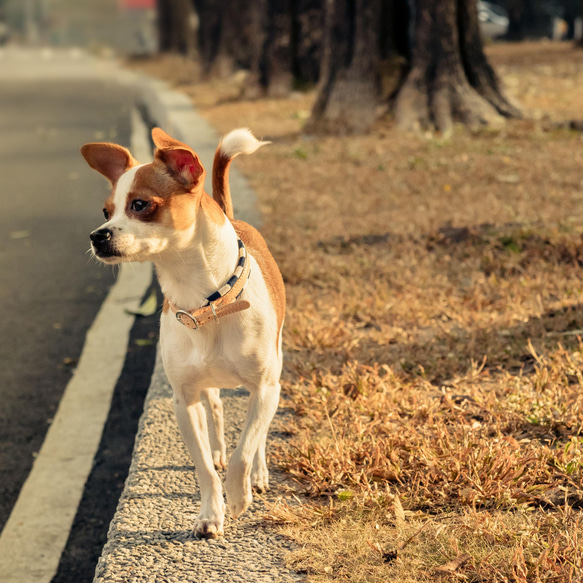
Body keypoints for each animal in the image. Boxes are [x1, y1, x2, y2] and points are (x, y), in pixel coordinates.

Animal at [81, 126, 286, 540]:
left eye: (140, 204)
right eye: (106, 212)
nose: (97, 236)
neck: (205, 302)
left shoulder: (265, 389)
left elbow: (246, 448)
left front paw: (238, 496)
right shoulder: (184, 402)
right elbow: (204, 467)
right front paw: (211, 513)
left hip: (274, 374)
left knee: (258, 438)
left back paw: (257, 474)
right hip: (206, 386)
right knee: (217, 409)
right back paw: (220, 449)